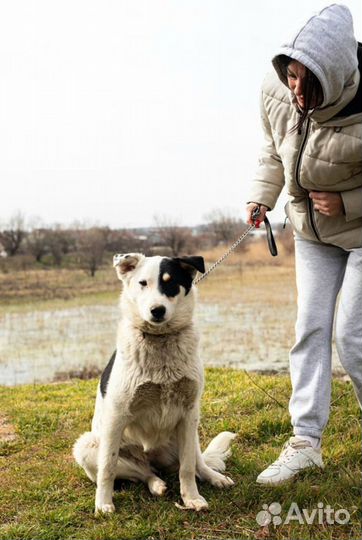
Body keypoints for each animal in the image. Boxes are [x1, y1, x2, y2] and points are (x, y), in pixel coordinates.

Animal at [74, 254, 236, 516]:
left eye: (170, 283)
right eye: (143, 283)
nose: (157, 310)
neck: (160, 340)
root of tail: (155, 460)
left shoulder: (189, 411)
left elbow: (187, 468)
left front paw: (192, 498)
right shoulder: (117, 415)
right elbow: (108, 467)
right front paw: (103, 504)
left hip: (190, 432)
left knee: (195, 462)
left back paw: (213, 477)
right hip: (87, 445)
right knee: (142, 473)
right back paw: (156, 484)